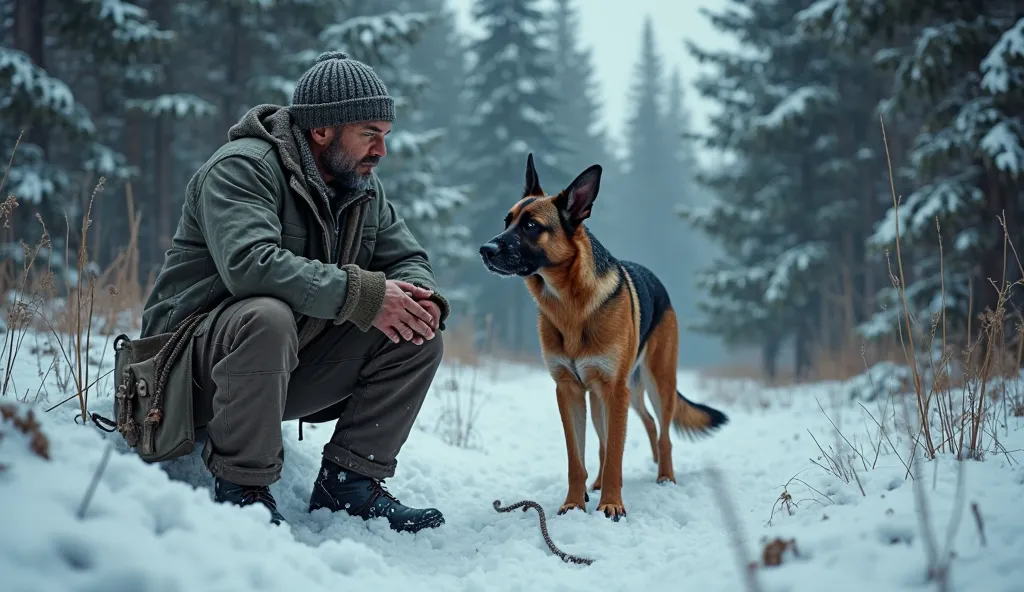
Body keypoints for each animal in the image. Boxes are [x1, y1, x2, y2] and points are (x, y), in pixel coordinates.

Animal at [479, 154, 729, 518]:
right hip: (603, 398)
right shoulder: (569, 391)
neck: (571, 306)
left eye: (531, 226)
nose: (484, 249)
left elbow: (615, 456)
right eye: (507, 221)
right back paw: (597, 484)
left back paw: (665, 477)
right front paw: (574, 502)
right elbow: (578, 458)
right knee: (624, 433)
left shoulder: (615, 390)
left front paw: (612, 504)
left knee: (661, 433)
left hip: (656, 383)